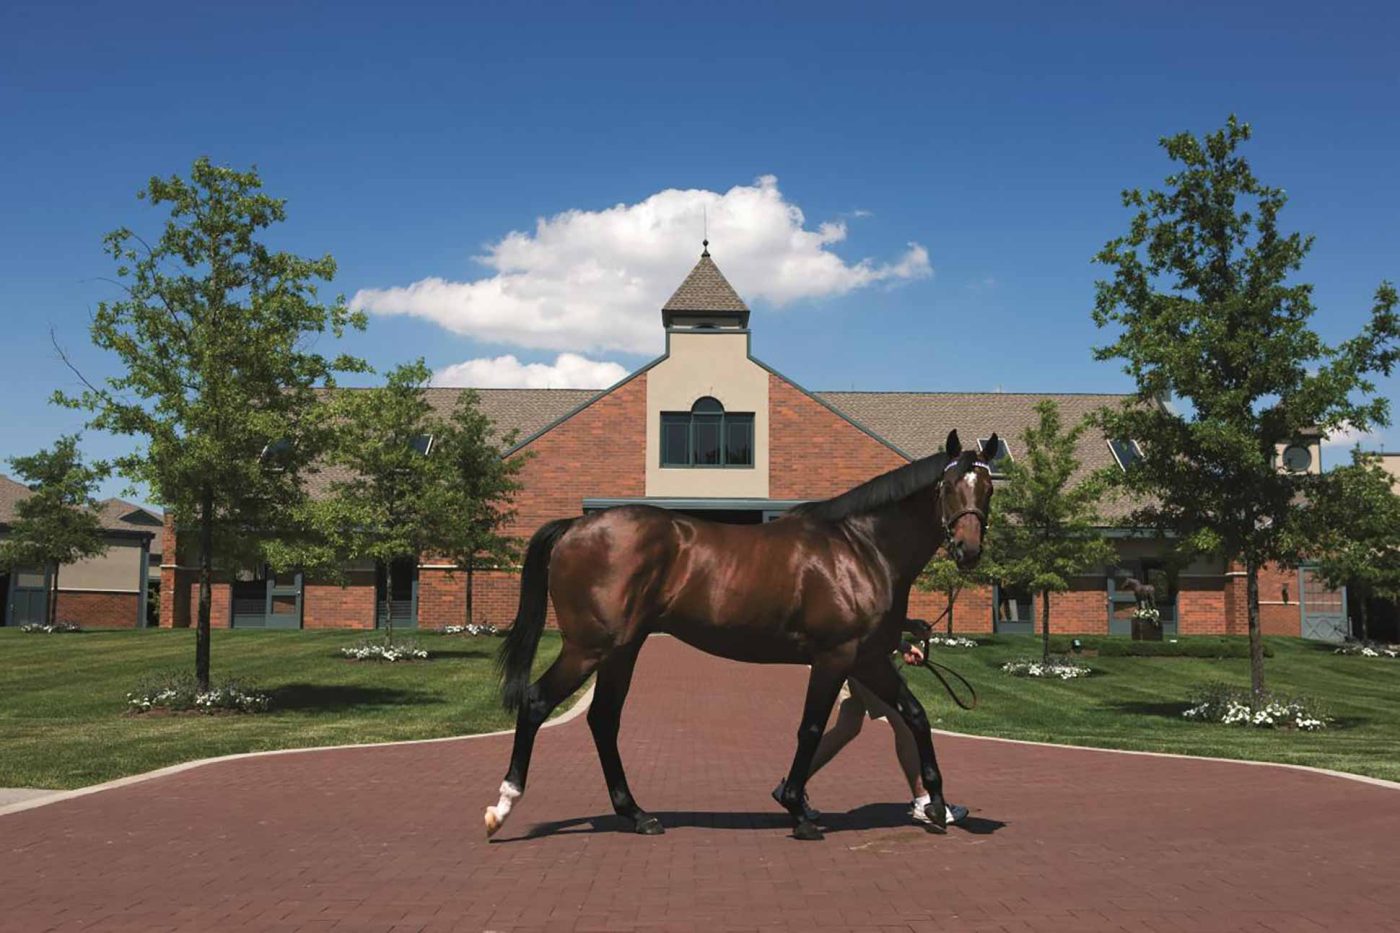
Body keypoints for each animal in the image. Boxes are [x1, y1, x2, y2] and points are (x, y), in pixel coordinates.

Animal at [483, 430, 998, 842]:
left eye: (989, 487)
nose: (968, 549)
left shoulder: (869, 659)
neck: (860, 550)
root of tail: (576, 525)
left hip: (621, 650)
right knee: (537, 702)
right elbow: (811, 728)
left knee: (603, 720)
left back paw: (637, 814)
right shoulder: (835, 657)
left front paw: (937, 805)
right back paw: (502, 807)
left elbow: (915, 715)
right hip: (589, 647)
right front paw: (797, 809)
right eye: (949, 486)